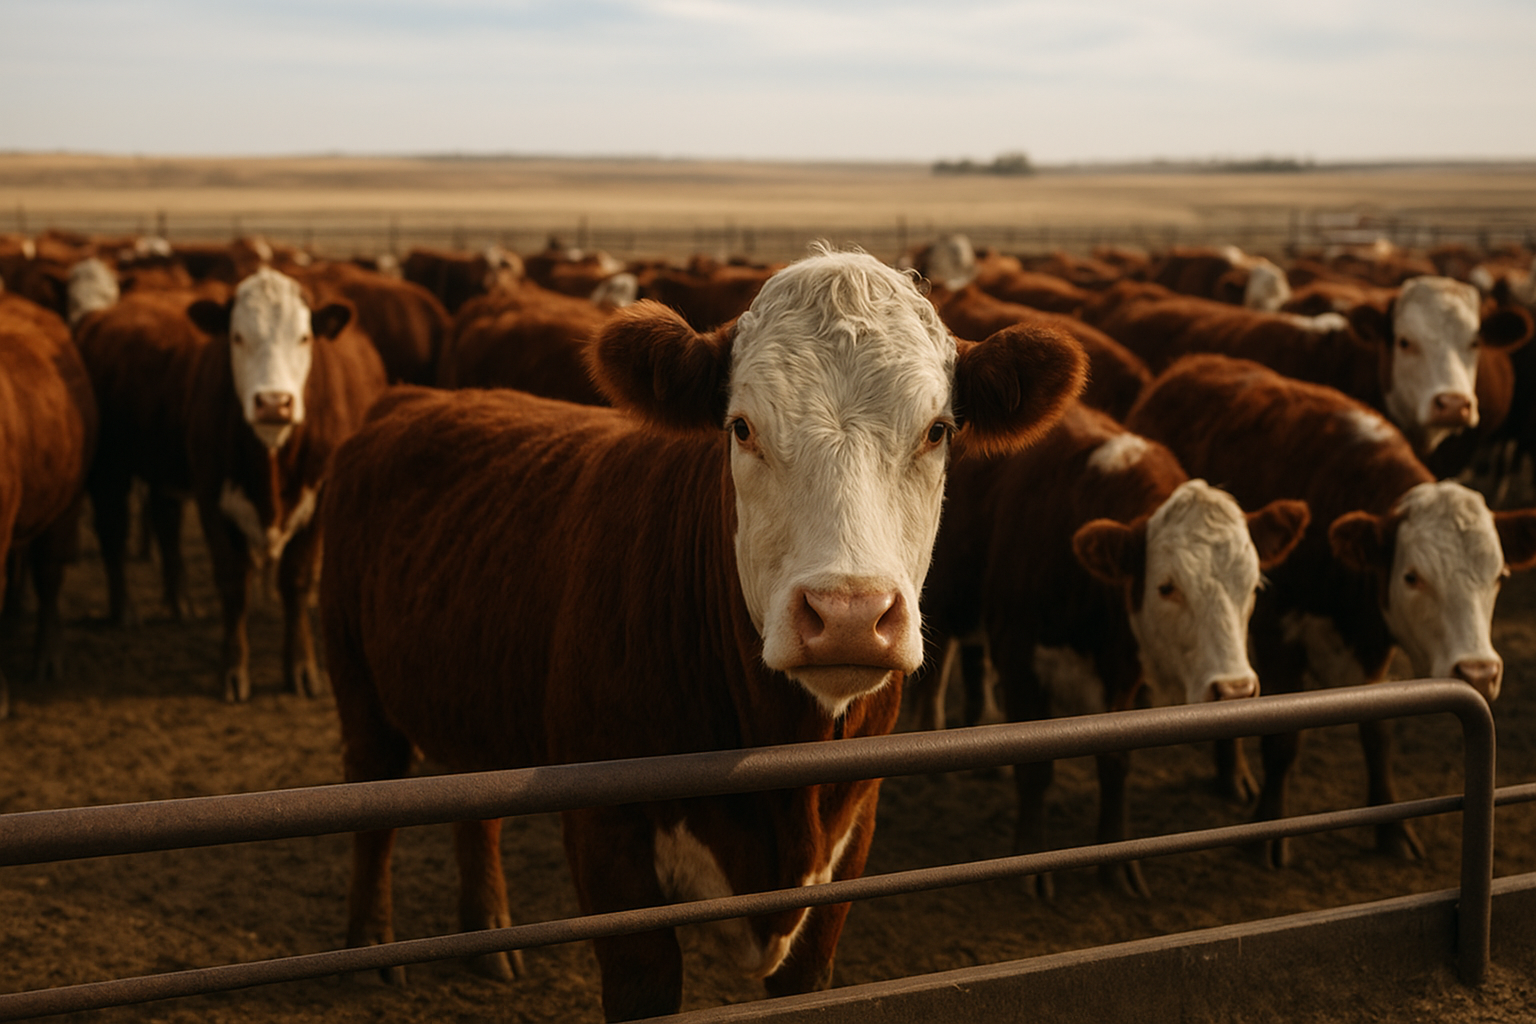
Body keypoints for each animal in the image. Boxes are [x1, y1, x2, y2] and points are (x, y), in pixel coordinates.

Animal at [185, 268, 387, 702]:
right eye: (237, 336)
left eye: (304, 337)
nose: (274, 402)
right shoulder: (210, 495)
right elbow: (233, 582)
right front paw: (233, 669)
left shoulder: (319, 498)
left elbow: (296, 580)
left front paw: (301, 667)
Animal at [318, 249, 1086, 1020]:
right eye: (742, 427)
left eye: (937, 430)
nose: (847, 614)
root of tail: (414, 400)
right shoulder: (609, 843)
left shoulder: (852, 839)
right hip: (355, 682)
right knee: (372, 810)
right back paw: (368, 948)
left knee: (475, 812)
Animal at [915, 400, 1307, 898]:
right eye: (1166, 588)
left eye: (1254, 585)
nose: (1235, 691)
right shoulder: (1019, 657)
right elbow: (1035, 771)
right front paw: (1032, 866)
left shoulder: (1122, 676)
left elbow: (1116, 762)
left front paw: (1115, 866)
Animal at [1126, 354, 1536, 866]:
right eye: (1412, 577)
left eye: (1499, 576)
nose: (1478, 673)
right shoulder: (1277, 635)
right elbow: (1282, 741)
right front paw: (1267, 832)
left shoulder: (1372, 644)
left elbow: (1377, 734)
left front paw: (1392, 829)